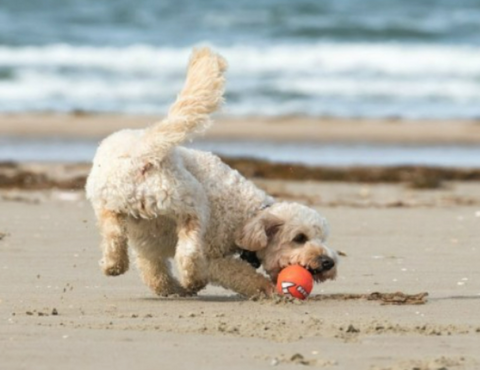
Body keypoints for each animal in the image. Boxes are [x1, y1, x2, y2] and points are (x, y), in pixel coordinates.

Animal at [85, 48, 338, 298]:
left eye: (322, 238)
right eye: (299, 238)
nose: (328, 262)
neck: (247, 216)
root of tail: (145, 150)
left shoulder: (148, 246)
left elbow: (155, 275)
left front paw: (174, 289)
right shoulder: (212, 256)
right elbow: (241, 274)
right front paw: (267, 289)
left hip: (111, 203)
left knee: (117, 234)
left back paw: (116, 265)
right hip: (192, 202)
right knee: (188, 249)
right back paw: (191, 279)